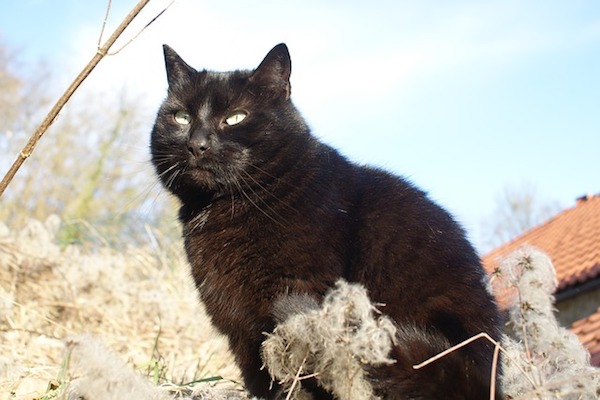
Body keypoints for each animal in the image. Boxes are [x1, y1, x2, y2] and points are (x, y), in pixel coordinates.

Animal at [150, 43, 502, 400]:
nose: (197, 144)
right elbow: (262, 378)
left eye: (236, 117)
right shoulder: (238, 329)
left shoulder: (300, 293)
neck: (226, 209)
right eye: (181, 117)